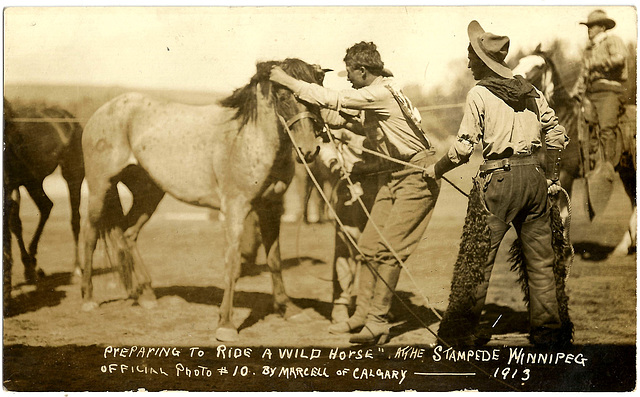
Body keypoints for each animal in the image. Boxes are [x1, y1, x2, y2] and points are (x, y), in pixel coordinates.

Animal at [2, 97, 85, 298]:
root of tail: (70, 118)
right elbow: (15, 223)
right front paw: (28, 271)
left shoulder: (10, 185)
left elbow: (13, 223)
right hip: (33, 181)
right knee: (46, 206)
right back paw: (32, 264)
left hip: (73, 173)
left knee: (75, 219)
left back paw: (76, 270)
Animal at [81, 58, 324, 340]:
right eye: (284, 97)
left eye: (315, 98)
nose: (308, 150)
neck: (247, 137)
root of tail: (104, 110)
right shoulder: (235, 209)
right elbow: (232, 264)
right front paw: (225, 324)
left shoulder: (271, 209)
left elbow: (274, 260)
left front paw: (288, 309)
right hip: (100, 188)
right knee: (90, 235)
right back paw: (88, 298)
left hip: (149, 192)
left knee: (128, 234)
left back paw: (146, 295)